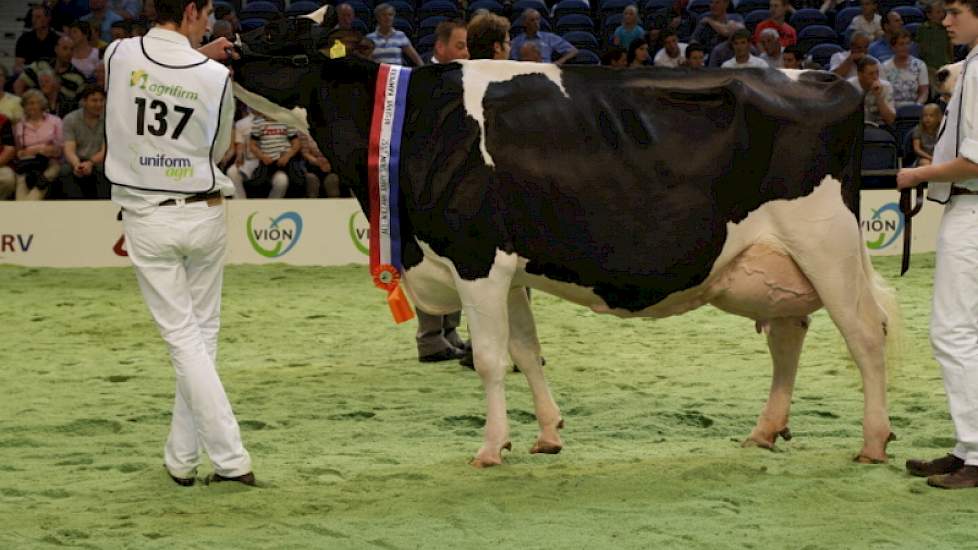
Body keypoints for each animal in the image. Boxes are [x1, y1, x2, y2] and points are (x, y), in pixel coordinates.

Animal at [233, 10, 896, 468]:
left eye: (276, 34)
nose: (226, 45)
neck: (413, 122)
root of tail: (827, 79)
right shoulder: (511, 271)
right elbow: (526, 352)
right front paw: (547, 434)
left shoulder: (477, 258)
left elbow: (492, 359)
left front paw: (490, 447)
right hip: (779, 262)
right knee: (789, 336)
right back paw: (764, 431)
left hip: (828, 243)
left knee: (865, 334)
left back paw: (873, 441)